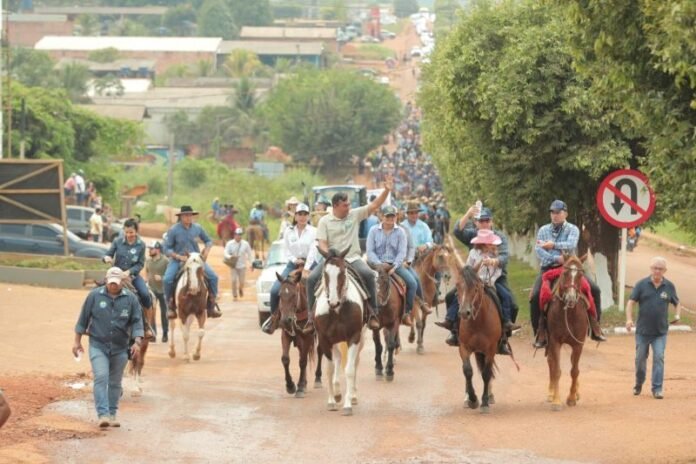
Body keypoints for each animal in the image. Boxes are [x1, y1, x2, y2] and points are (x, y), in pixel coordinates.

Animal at [278, 268, 320, 398]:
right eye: (280, 295)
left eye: (294, 295)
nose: (285, 320)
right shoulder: (286, 334)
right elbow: (285, 359)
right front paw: (290, 386)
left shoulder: (308, 336)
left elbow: (302, 361)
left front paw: (300, 387)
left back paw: (317, 379)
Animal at [314, 248, 368, 416]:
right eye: (325, 273)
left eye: (343, 272)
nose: (333, 302)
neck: (337, 310)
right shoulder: (324, 339)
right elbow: (329, 369)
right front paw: (332, 401)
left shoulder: (354, 337)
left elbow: (350, 370)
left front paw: (347, 404)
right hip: (334, 341)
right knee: (337, 359)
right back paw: (337, 393)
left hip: (361, 338)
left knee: (355, 362)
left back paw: (353, 396)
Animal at [456, 264, 500, 414]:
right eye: (457, 286)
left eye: (475, 288)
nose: (464, 313)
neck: (478, 322)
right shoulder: (464, 347)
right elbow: (467, 371)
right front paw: (473, 399)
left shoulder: (491, 349)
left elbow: (486, 374)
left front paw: (484, 402)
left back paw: (490, 396)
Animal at [548, 256, 588, 412]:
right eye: (565, 273)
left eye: (580, 275)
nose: (570, 298)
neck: (569, 314)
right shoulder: (554, 341)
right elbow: (557, 370)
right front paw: (556, 401)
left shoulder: (578, 344)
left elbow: (574, 371)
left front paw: (571, 398)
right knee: (551, 363)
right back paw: (551, 393)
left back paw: (576, 393)